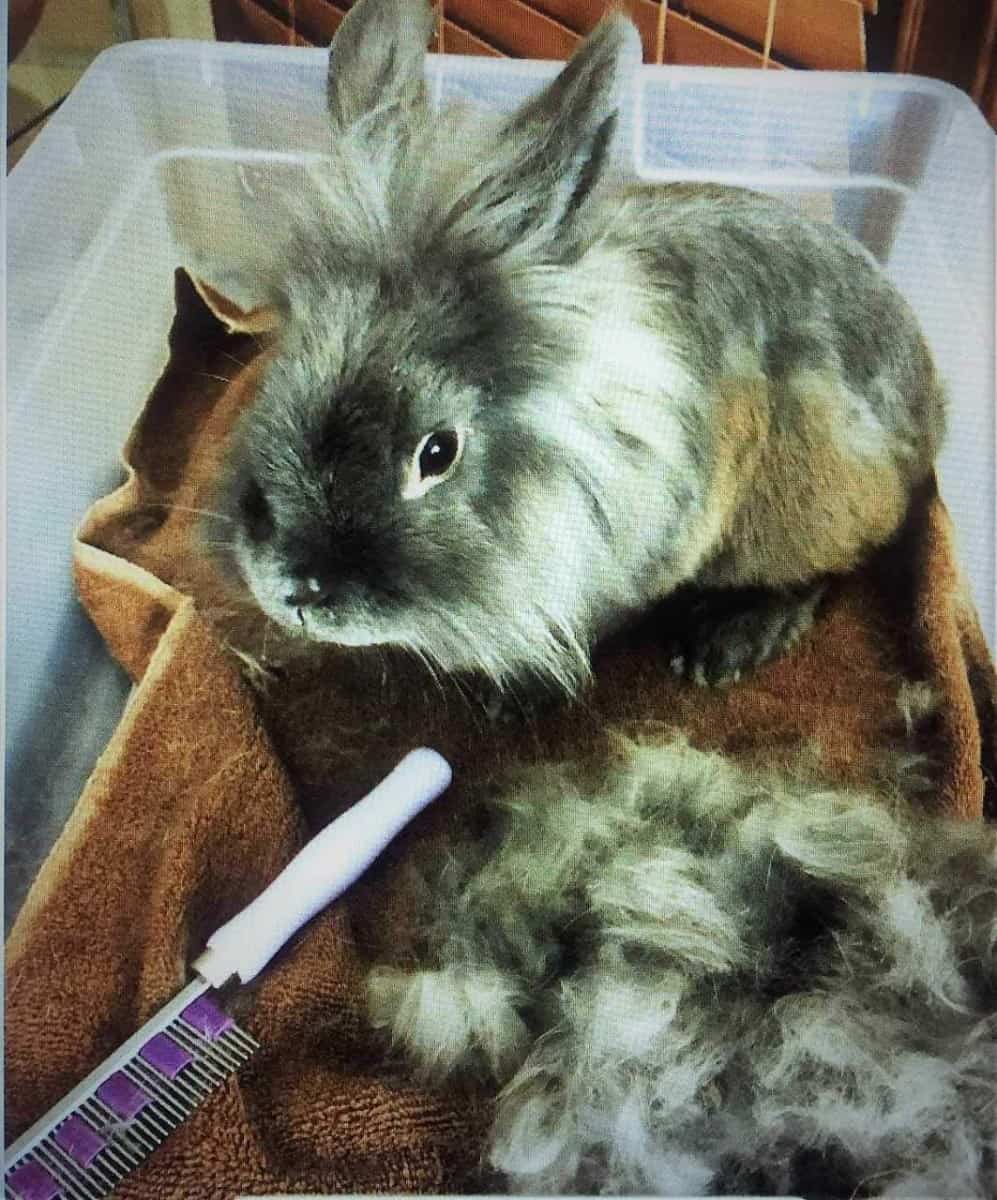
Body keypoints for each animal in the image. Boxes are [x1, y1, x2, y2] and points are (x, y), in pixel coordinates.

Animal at [208, 0, 946, 695]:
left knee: (825, 569)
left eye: (437, 452)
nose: (296, 592)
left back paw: (729, 642)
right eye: (279, 375)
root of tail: (931, 408)